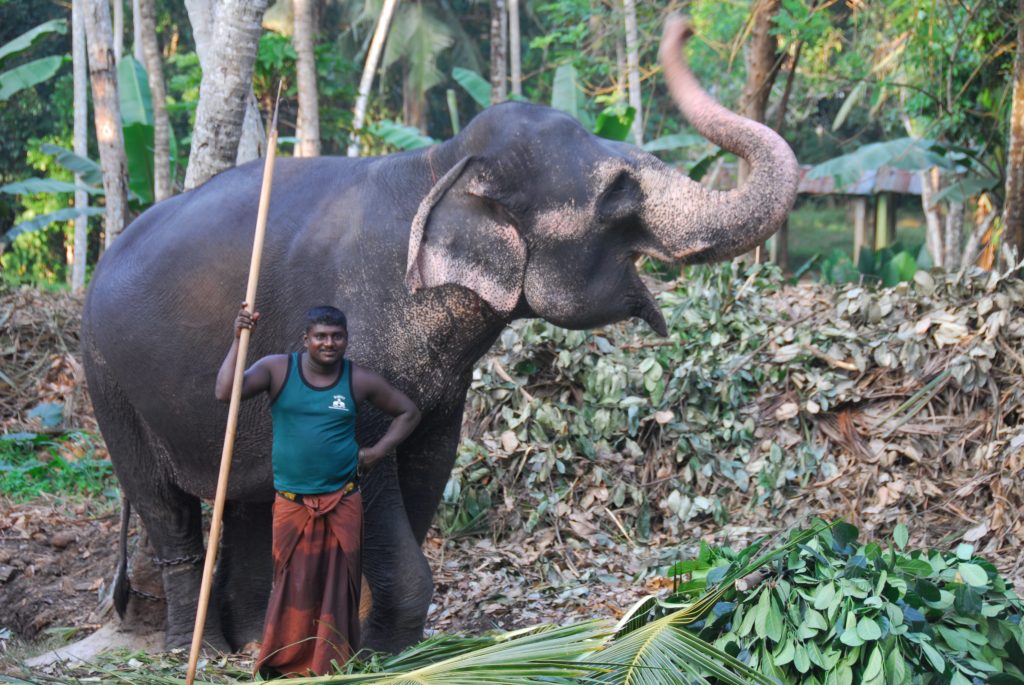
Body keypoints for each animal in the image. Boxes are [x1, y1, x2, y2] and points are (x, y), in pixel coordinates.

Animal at [79, 17, 798, 651]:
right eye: (619, 195)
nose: (682, 28)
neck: (441, 162)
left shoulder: (445, 390)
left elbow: (428, 462)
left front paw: (381, 648)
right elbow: (372, 483)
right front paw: (377, 654)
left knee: (246, 503)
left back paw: (250, 642)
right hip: (109, 382)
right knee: (166, 508)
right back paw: (192, 647)